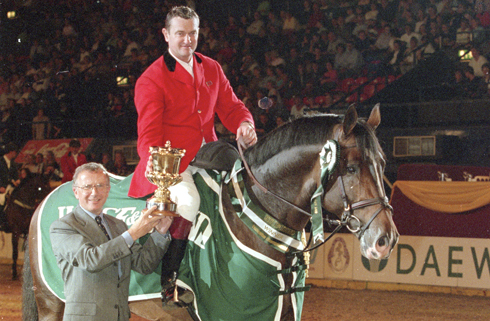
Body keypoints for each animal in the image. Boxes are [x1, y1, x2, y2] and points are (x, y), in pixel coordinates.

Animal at [23, 105, 398, 320]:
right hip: (53, 303)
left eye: (382, 163)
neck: (253, 216)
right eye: (351, 168)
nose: (386, 240)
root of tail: (46, 199)